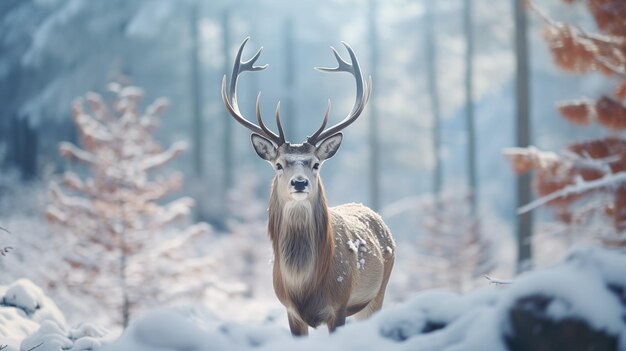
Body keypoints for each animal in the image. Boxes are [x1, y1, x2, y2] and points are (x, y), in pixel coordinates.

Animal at [222, 37, 392, 336]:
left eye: (315, 164)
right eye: (279, 165)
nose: (299, 182)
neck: (303, 286)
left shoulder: (339, 305)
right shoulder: (291, 312)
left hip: (378, 293)